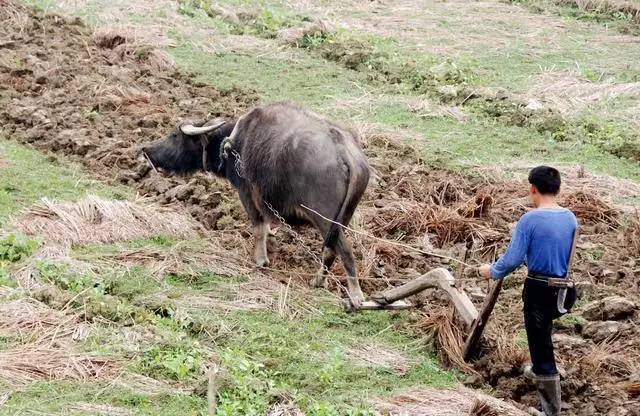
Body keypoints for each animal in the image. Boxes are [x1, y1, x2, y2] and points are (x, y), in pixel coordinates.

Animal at [140, 101, 370, 306]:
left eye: (175, 135)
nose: (146, 149)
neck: (233, 144)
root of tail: (346, 153)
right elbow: (266, 226)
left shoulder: (247, 194)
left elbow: (258, 227)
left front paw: (259, 260)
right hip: (343, 218)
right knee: (330, 250)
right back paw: (319, 281)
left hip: (325, 218)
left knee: (343, 250)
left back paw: (354, 294)